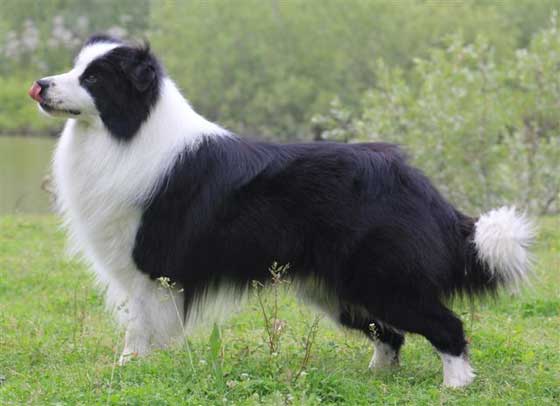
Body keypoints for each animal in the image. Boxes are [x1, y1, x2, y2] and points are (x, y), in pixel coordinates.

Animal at [29, 36, 532, 388]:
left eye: (94, 79)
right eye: (74, 67)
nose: (41, 85)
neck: (128, 133)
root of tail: (415, 180)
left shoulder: (150, 269)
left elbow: (138, 326)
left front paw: (130, 367)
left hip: (383, 277)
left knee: (446, 325)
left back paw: (456, 384)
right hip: (337, 288)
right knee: (391, 334)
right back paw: (377, 377)